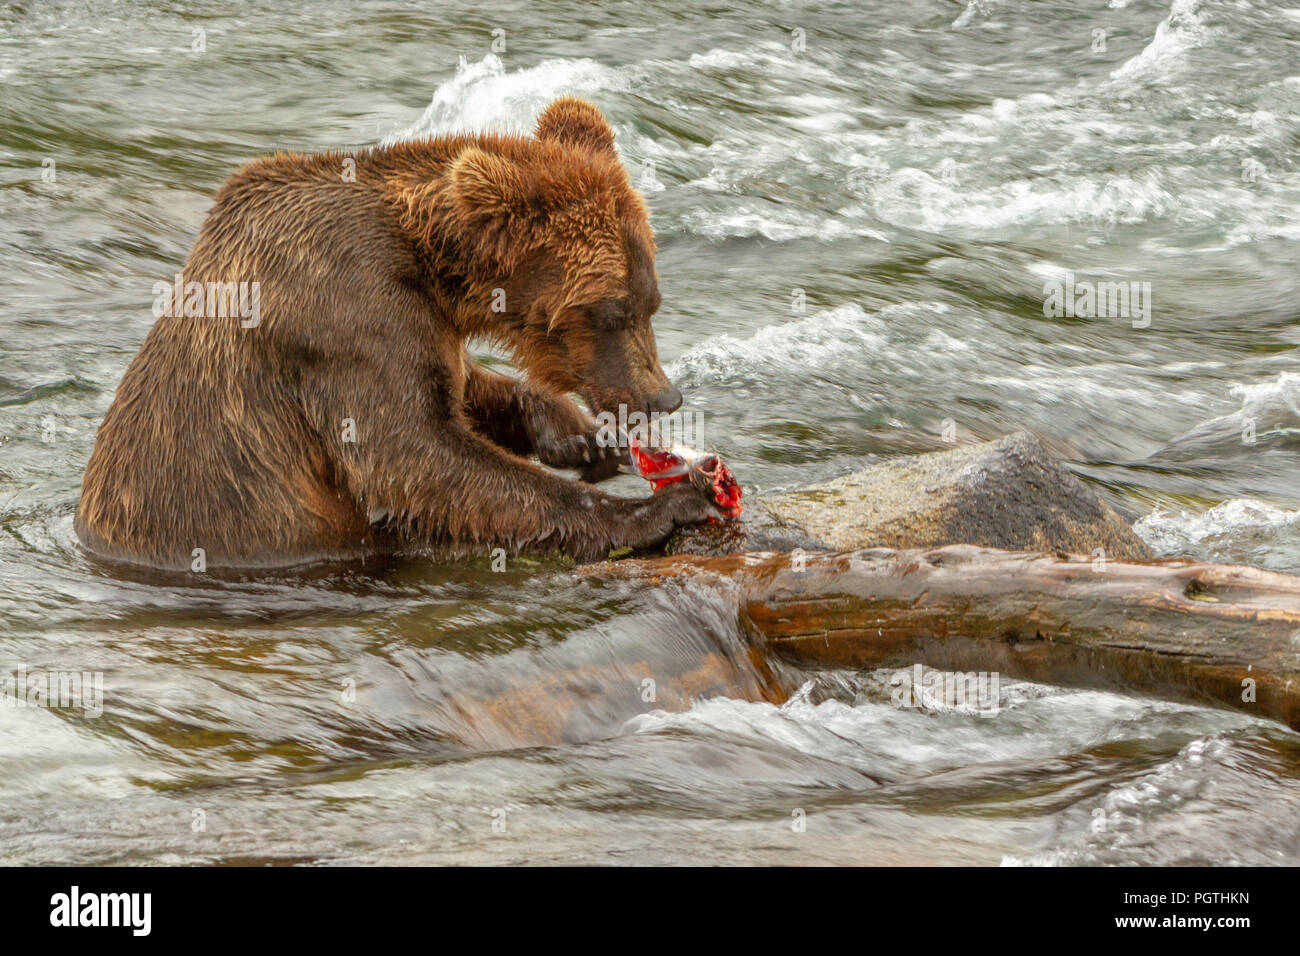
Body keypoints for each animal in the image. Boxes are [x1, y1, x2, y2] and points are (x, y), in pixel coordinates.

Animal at [76, 98, 722, 567]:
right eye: (612, 311)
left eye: (652, 302)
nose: (663, 396)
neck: (427, 262)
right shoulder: (348, 317)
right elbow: (414, 456)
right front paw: (659, 508)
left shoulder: (426, 325)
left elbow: (463, 389)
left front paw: (581, 435)